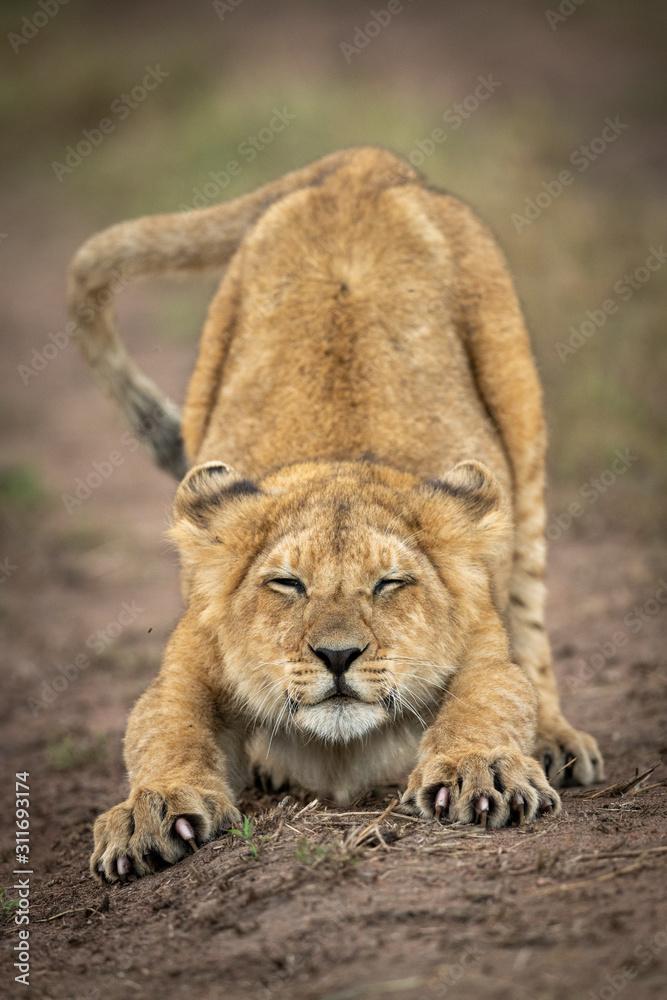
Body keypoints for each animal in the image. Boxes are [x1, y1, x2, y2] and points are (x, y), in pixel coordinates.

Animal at [67, 147, 603, 883]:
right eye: (288, 584)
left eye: (389, 584)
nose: (339, 655)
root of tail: (360, 166)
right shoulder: (188, 663)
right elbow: (163, 729)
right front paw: (150, 810)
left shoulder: (482, 639)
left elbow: (492, 696)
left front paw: (480, 768)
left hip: (519, 440)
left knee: (531, 624)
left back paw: (556, 741)